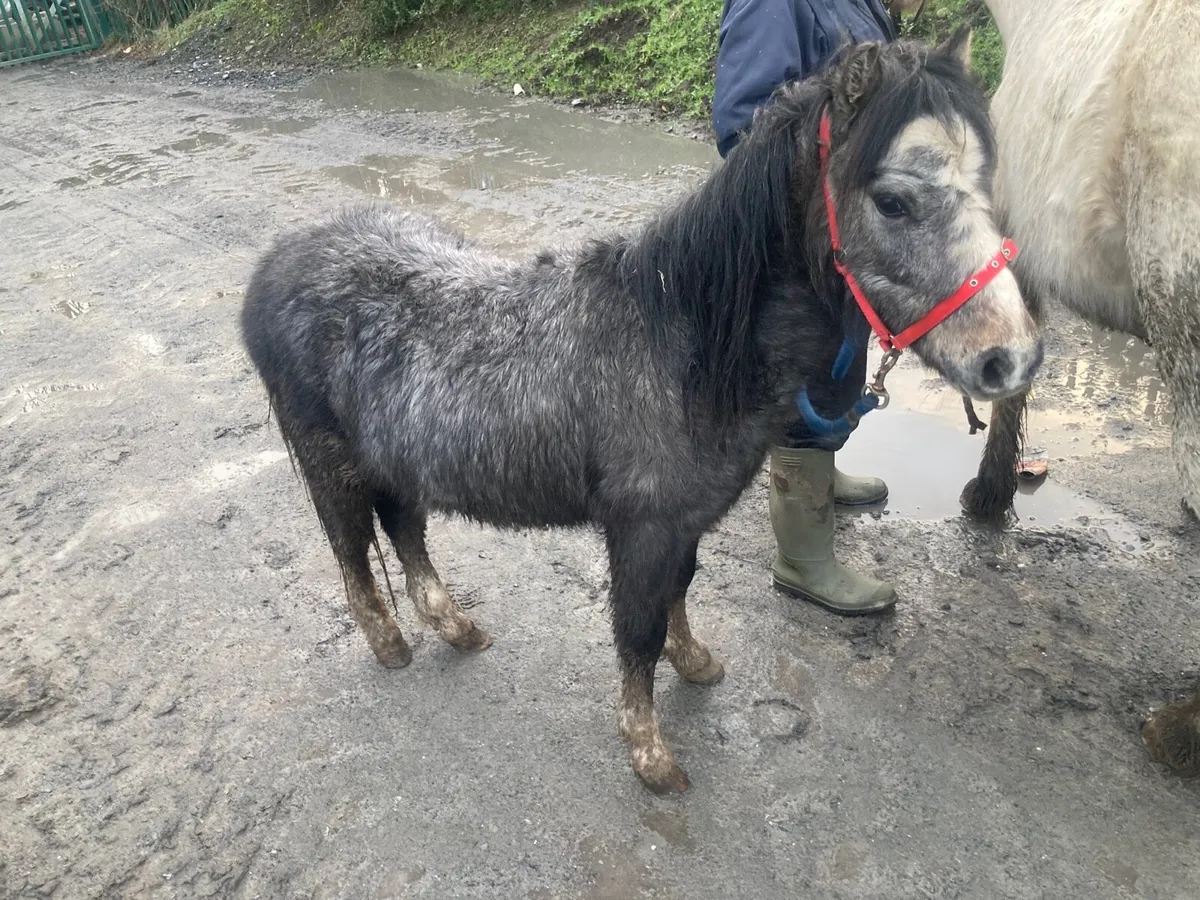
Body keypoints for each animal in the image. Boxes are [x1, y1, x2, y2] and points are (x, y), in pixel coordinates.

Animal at [240, 32, 1041, 794]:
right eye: (893, 201)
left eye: (984, 184)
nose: (1013, 359)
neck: (679, 342)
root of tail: (276, 264)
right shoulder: (644, 527)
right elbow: (639, 632)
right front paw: (651, 756)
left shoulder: (681, 522)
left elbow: (678, 598)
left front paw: (697, 663)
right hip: (331, 464)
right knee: (352, 550)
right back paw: (392, 647)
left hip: (398, 457)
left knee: (404, 531)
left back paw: (456, 627)